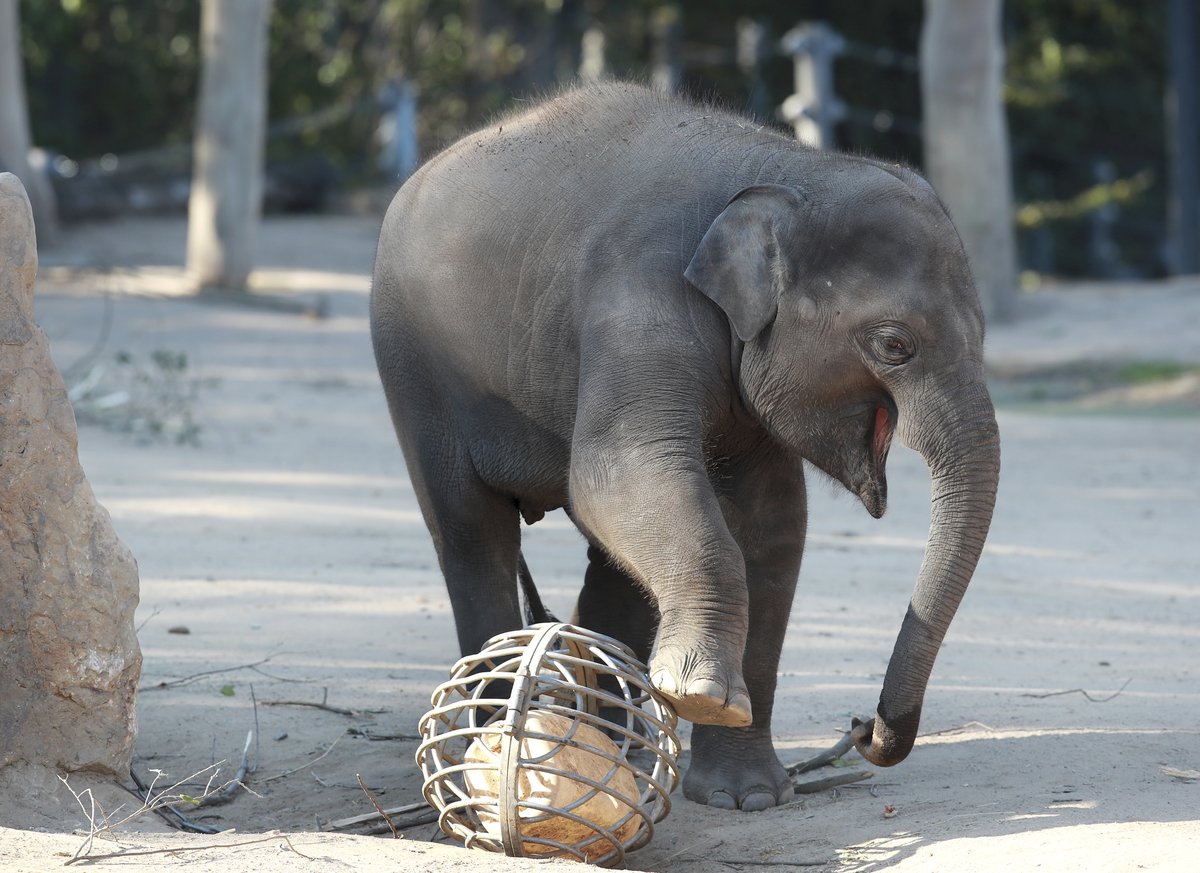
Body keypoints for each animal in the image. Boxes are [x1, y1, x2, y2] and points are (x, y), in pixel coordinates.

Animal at [369, 81, 998, 810]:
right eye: (894, 344)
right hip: (414, 367)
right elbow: (617, 472)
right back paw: (480, 746)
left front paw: (745, 797)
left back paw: (615, 739)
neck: (789, 169)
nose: (863, 726)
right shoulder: (639, 301)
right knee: (472, 534)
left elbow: (772, 521)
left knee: (610, 560)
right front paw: (701, 694)